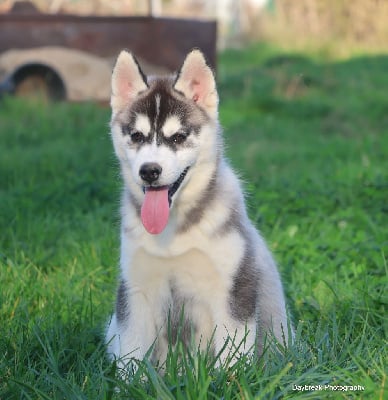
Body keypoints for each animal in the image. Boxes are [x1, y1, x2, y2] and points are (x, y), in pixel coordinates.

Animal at [106, 49, 292, 366]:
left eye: (178, 137)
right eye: (137, 136)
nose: (149, 171)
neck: (173, 233)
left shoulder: (234, 286)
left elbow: (233, 356)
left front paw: (230, 378)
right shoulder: (135, 289)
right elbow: (130, 357)